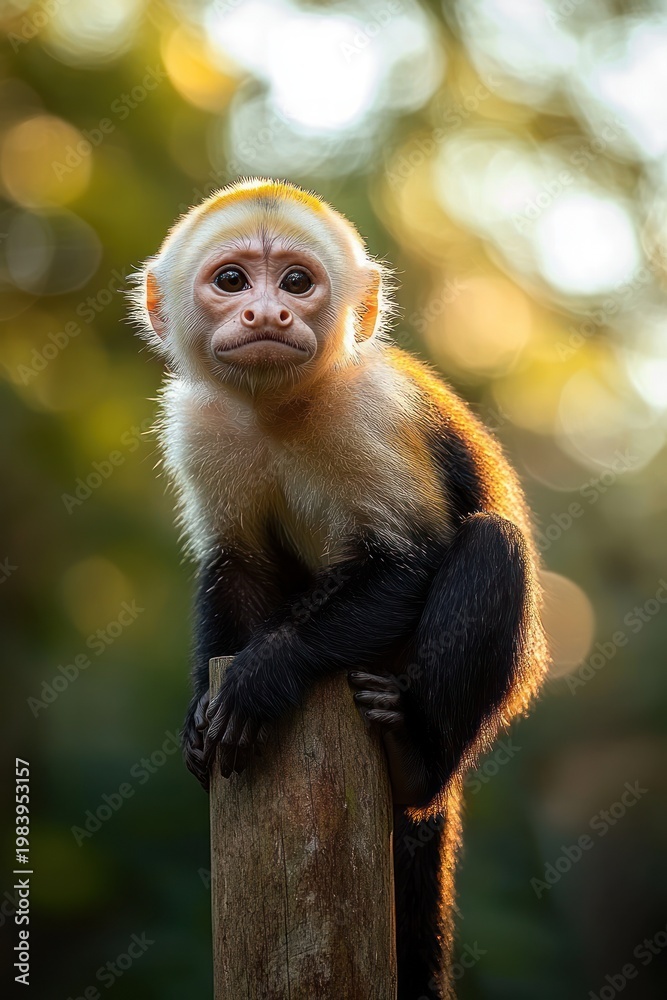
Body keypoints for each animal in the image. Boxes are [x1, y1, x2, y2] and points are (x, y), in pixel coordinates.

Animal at [132, 177, 548, 1000]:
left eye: (296, 281)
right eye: (233, 281)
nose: (268, 314)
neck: (278, 409)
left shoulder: (370, 411)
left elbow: (410, 562)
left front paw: (268, 671)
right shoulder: (200, 424)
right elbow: (237, 569)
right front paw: (201, 711)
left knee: (492, 545)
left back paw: (417, 761)